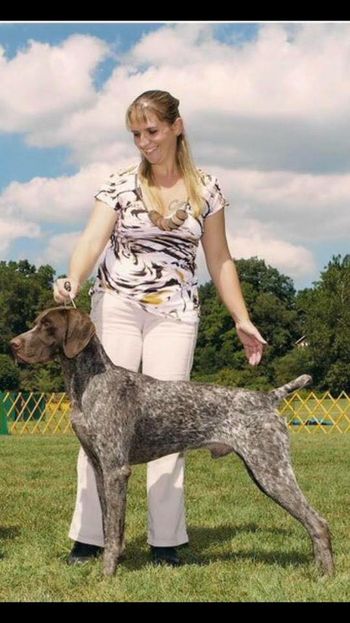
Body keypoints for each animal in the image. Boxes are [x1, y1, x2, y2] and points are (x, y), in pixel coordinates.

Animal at [9, 308, 334, 576]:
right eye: (37, 323)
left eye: (47, 326)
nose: (12, 344)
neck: (90, 383)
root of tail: (268, 398)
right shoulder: (100, 469)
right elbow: (107, 524)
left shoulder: (116, 470)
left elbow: (114, 531)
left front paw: (107, 575)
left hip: (271, 471)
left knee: (318, 522)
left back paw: (326, 576)